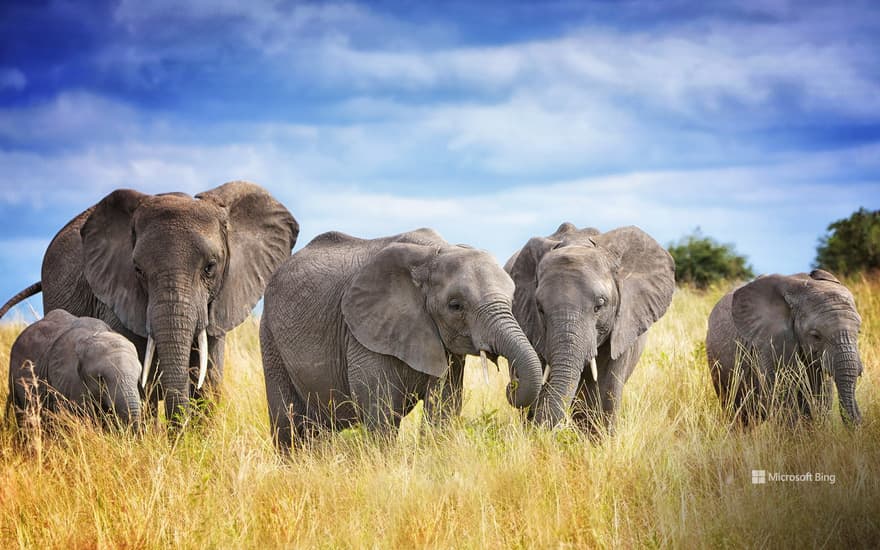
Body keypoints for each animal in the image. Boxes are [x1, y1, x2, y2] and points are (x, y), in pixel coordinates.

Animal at [260, 229, 544, 452]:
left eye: (512, 300)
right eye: (455, 306)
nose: (511, 385)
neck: (433, 254)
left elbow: (444, 403)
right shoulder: (364, 332)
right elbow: (380, 405)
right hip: (269, 335)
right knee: (288, 422)